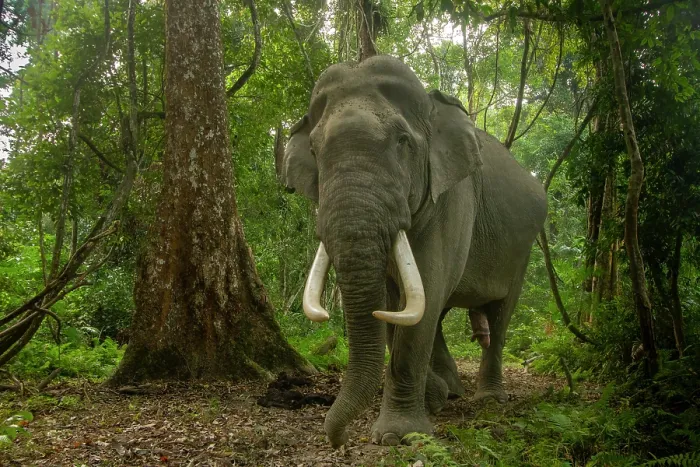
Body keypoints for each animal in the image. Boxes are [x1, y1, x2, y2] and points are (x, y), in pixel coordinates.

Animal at [281, 55, 547, 448]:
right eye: (314, 150)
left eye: (402, 141)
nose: (338, 439)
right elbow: (399, 305)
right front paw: (434, 398)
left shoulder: (453, 199)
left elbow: (425, 292)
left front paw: (398, 435)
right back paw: (450, 389)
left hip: (523, 249)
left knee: (499, 317)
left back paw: (488, 398)